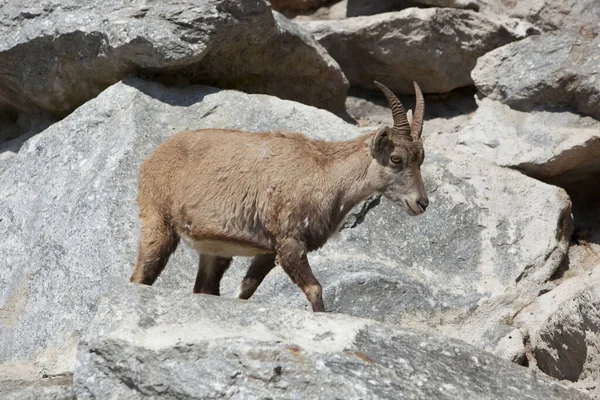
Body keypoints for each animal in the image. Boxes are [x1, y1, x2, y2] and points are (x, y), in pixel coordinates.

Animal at [131, 82, 428, 312]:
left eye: (421, 158)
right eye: (396, 158)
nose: (421, 203)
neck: (324, 173)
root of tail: (151, 158)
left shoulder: (268, 250)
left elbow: (246, 289)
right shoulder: (289, 240)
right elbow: (314, 288)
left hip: (214, 249)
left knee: (204, 287)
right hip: (158, 222)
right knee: (141, 275)